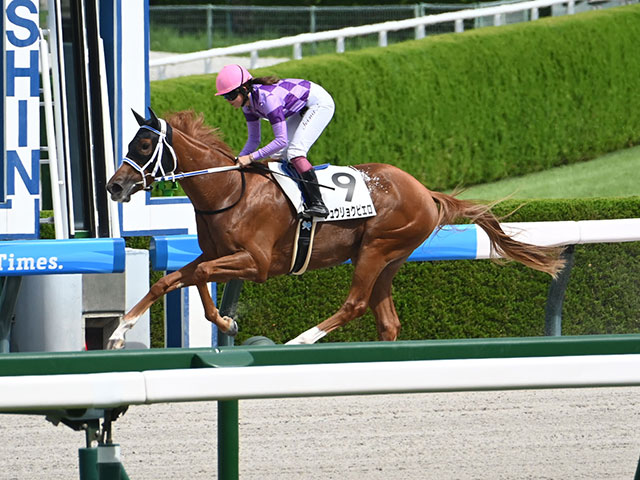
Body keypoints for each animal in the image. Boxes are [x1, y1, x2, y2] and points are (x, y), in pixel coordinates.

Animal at [106, 109, 565, 348]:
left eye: (143, 145)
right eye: (130, 143)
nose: (114, 185)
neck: (230, 190)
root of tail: (425, 192)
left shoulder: (256, 263)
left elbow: (199, 276)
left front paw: (227, 322)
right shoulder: (217, 253)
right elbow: (171, 281)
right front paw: (120, 331)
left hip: (377, 248)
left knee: (355, 304)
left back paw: (301, 340)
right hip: (389, 258)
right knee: (386, 319)